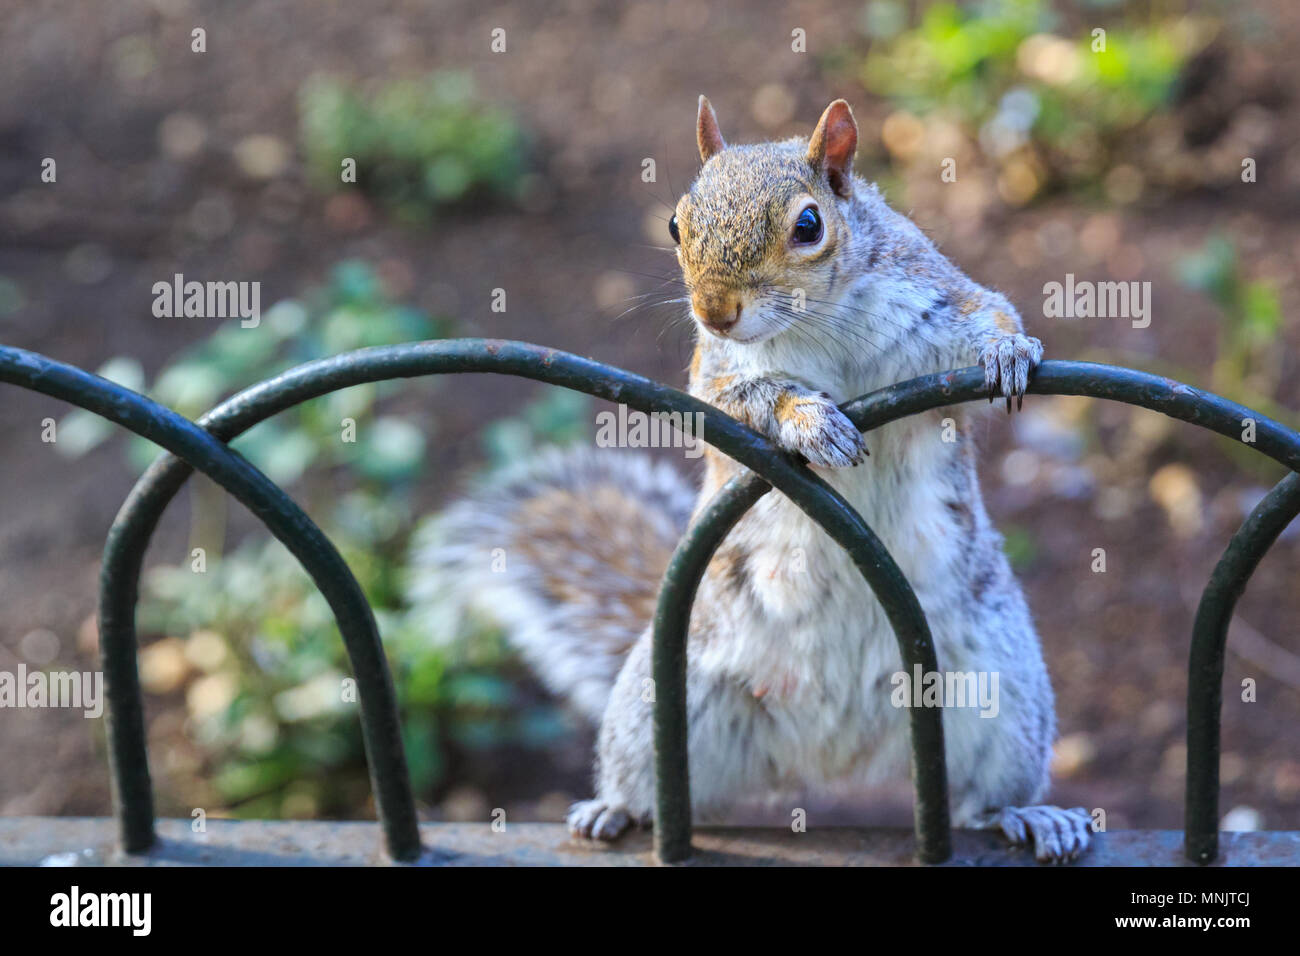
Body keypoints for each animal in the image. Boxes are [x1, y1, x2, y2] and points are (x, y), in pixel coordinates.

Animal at [408, 98, 1097, 868]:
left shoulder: (937, 303)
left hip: (1002, 694)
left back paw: (1033, 816)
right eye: (676, 224)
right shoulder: (715, 378)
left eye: (809, 225)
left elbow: (989, 321)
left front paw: (1009, 352)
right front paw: (810, 421)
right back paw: (615, 809)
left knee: (985, 799)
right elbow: (750, 401)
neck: (822, 320)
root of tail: (834, 751)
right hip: (659, 703)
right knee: (651, 784)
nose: (713, 311)